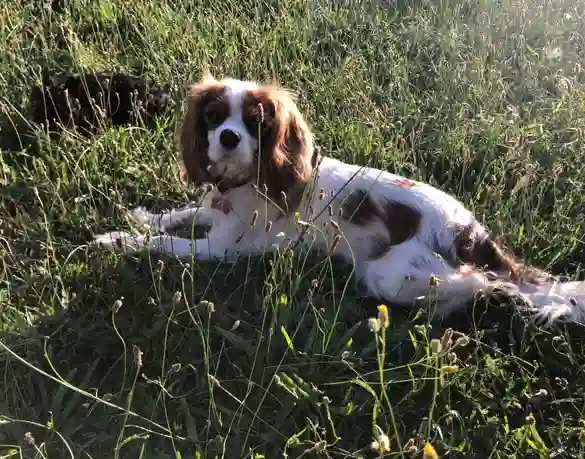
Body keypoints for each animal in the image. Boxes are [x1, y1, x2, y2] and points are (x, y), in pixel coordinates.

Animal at [93, 74, 584, 328]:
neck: (242, 183)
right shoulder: (215, 215)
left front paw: (116, 240)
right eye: (213, 118)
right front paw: (143, 216)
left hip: (391, 273)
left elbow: (163, 244)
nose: (228, 137)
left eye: (255, 123)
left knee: (480, 287)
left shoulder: (222, 250)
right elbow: (181, 214)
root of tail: (475, 237)